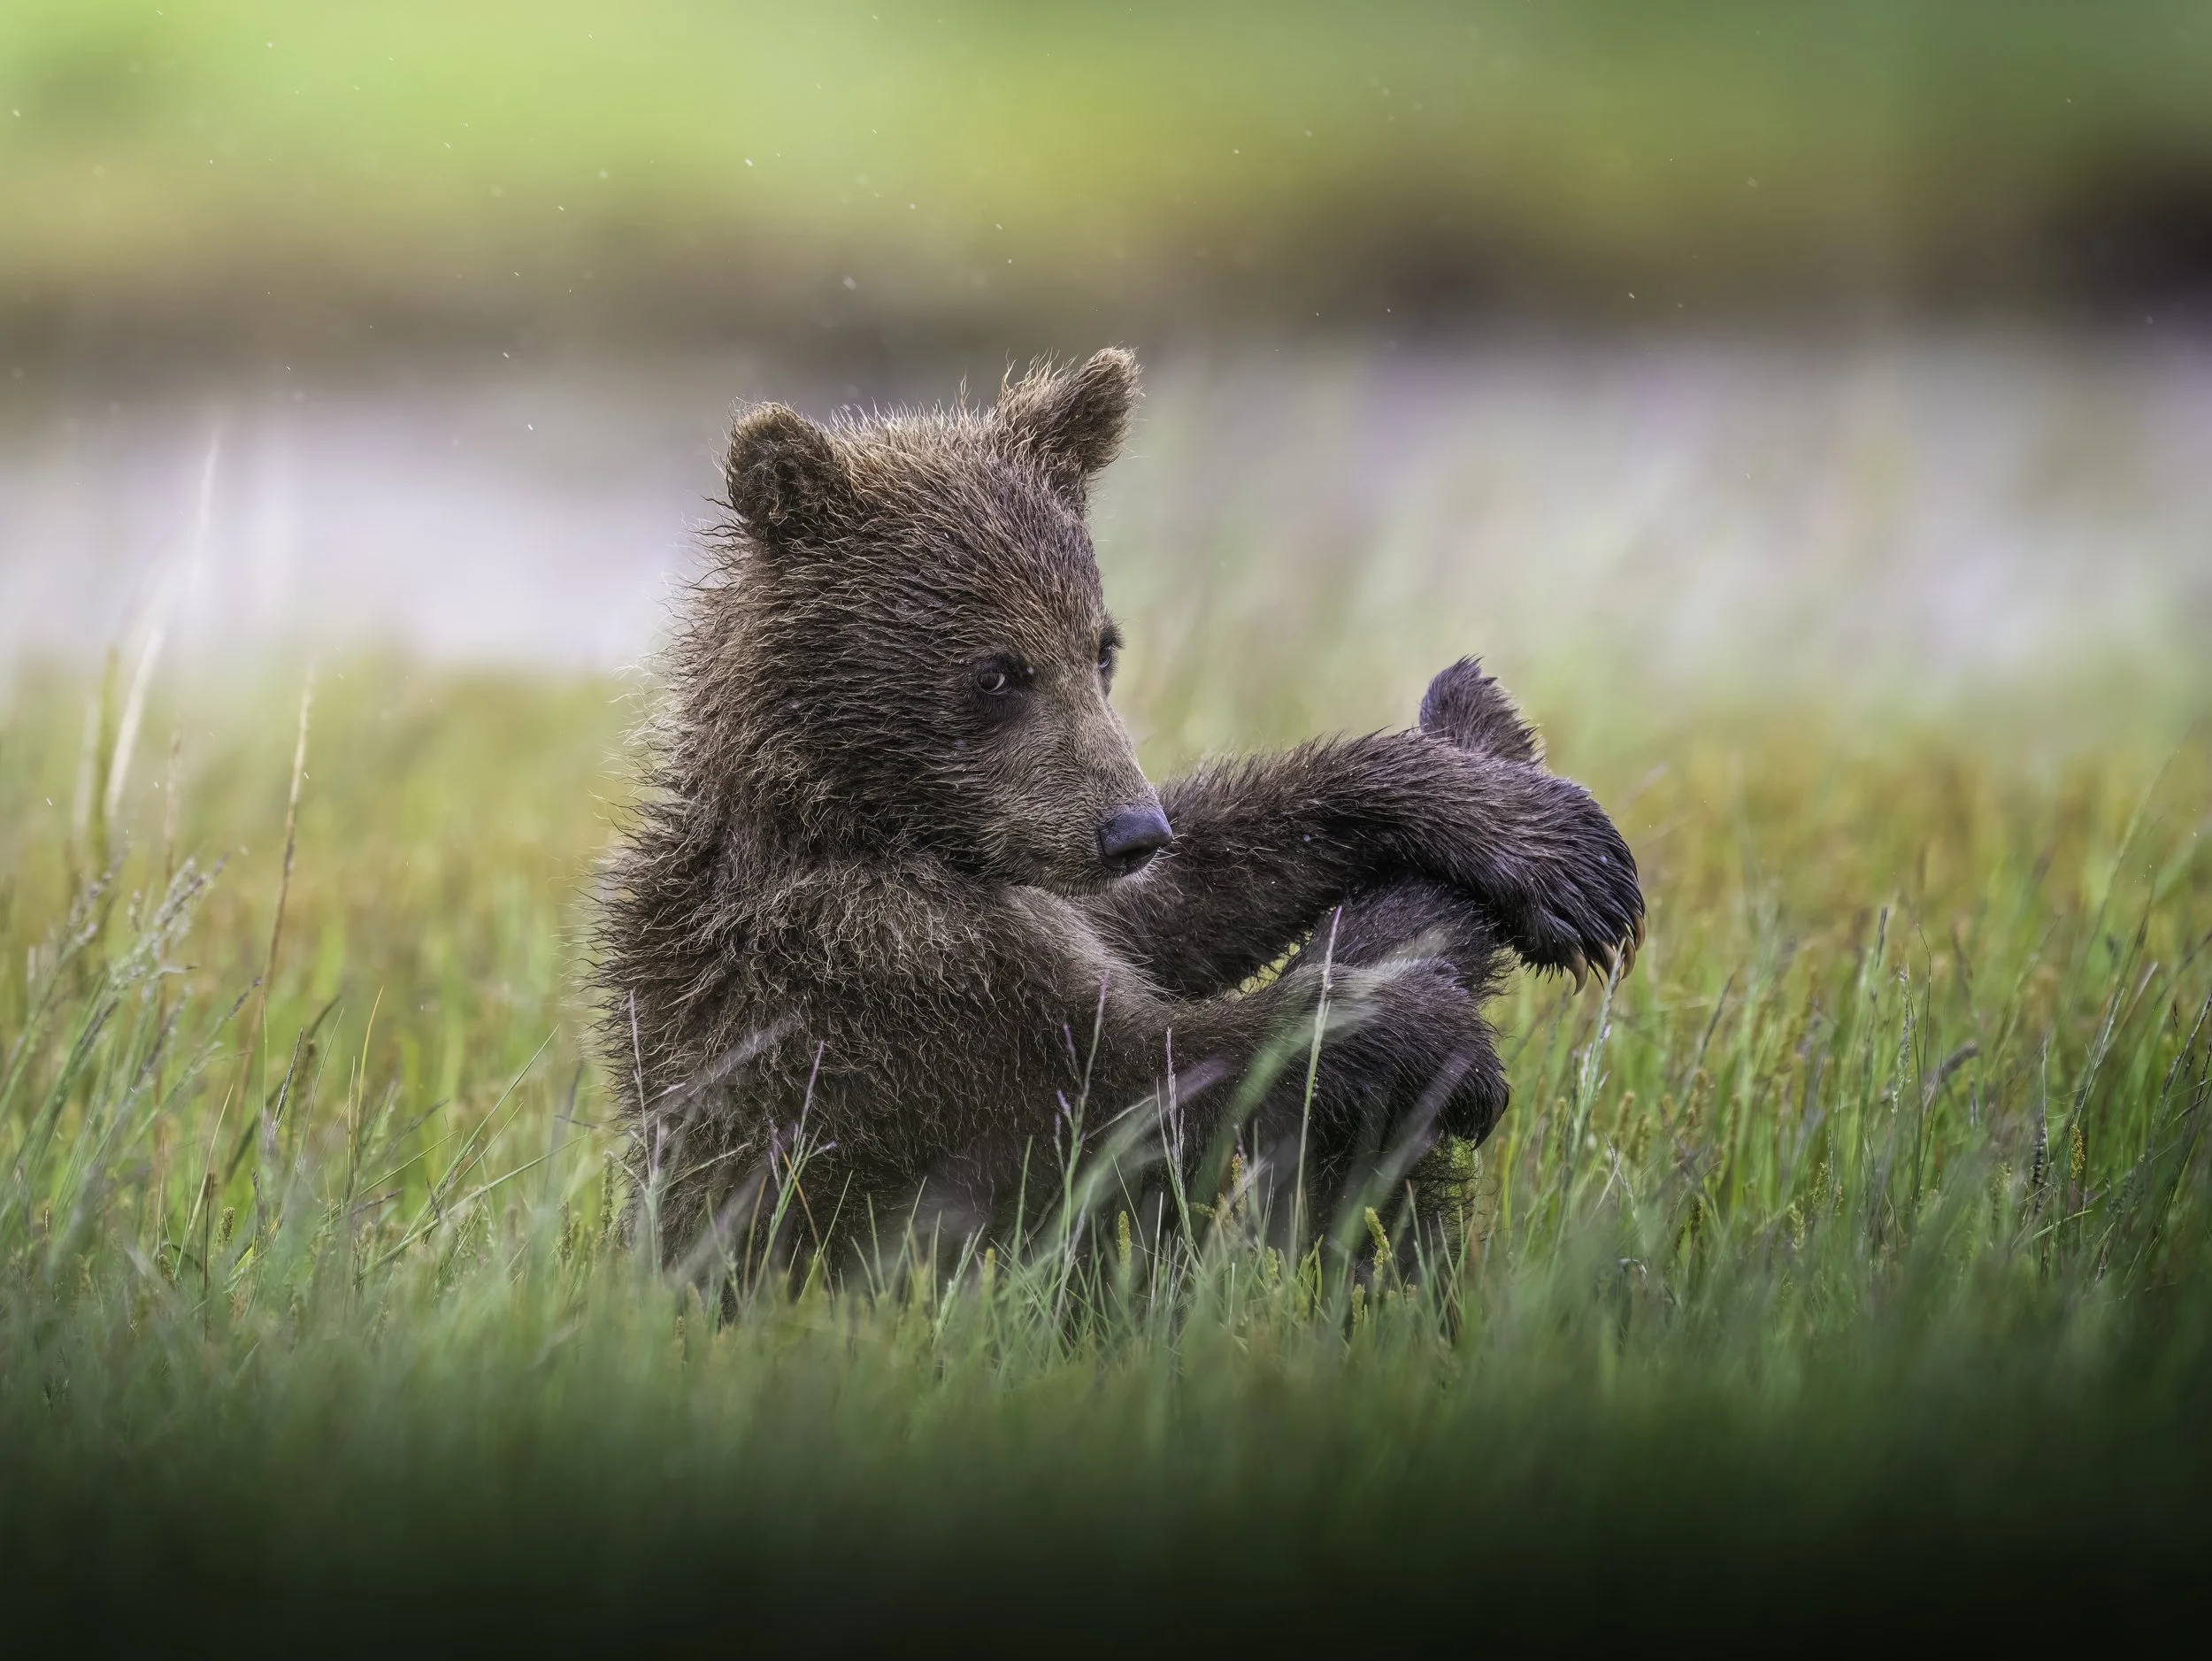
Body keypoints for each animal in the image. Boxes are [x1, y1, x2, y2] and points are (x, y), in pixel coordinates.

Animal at [598, 348, 1643, 1268]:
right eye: (996, 671)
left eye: (1100, 646)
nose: (1131, 830)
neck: (864, 825)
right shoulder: (867, 991)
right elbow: (1132, 1096)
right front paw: (1425, 1032)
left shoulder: (1061, 896)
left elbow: (1206, 890)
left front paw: (1542, 834)